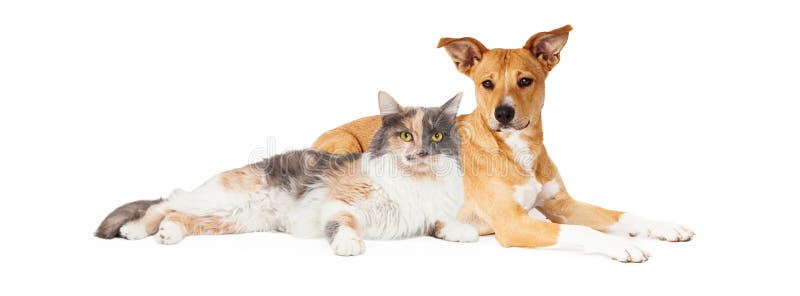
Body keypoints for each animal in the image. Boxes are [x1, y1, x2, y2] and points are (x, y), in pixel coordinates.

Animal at [96, 91, 478, 256]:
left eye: (437, 137)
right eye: (406, 136)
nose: (423, 152)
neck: (416, 183)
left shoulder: (426, 214)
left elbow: (439, 221)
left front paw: (463, 231)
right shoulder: (339, 202)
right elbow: (345, 223)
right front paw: (350, 244)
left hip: (231, 220)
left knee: (178, 214)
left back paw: (169, 233)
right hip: (220, 198)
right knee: (166, 201)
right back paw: (135, 230)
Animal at [312, 24, 692, 262]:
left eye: (525, 81)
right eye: (486, 83)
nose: (504, 113)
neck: (516, 149)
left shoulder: (562, 204)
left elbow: (618, 214)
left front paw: (664, 226)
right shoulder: (513, 224)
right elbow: (582, 231)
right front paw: (618, 246)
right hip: (348, 152)